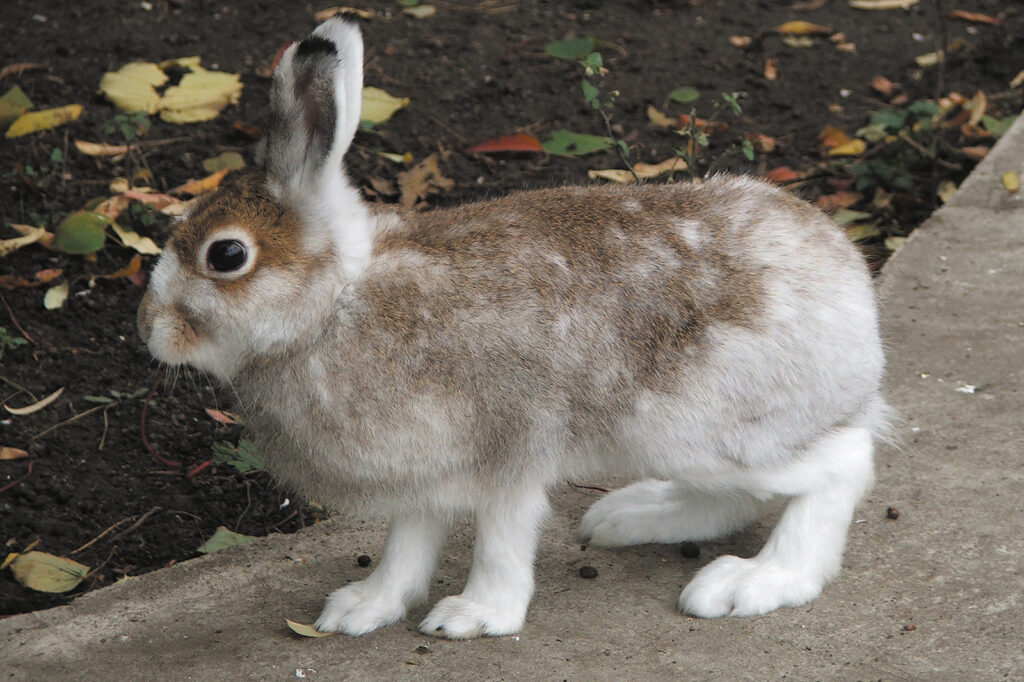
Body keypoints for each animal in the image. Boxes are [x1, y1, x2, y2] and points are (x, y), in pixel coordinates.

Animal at [137, 16, 887, 640]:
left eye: (226, 256)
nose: (148, 328)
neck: (337, 303)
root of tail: (853, 292)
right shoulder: (423, 468)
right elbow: (407, 542)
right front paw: (362, 609)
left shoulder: (508, 451)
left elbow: (500, 538)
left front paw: (473, 617)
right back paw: (629, 518)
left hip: (709, 426)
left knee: (841, 464)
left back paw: (755, 580)